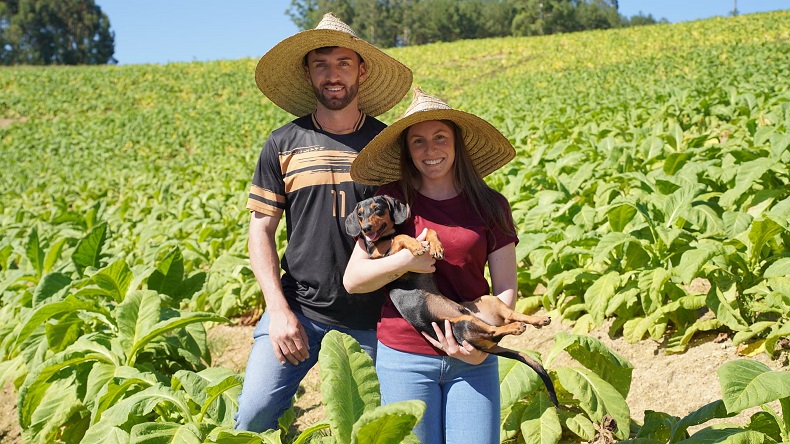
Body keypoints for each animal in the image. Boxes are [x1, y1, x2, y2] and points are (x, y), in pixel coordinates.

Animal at [348, 196, 564, 408]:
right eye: (360, 214)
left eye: (377, 209)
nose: (366, 229)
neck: (381, 239)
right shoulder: (386, 261)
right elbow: (399, 238)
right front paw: (416, 246)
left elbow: (429, 230)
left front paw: (436, 246)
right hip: (462, 324)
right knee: (496, 330)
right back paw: (516, 327)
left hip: (487, 302)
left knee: (509, 316)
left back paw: (538, 320)